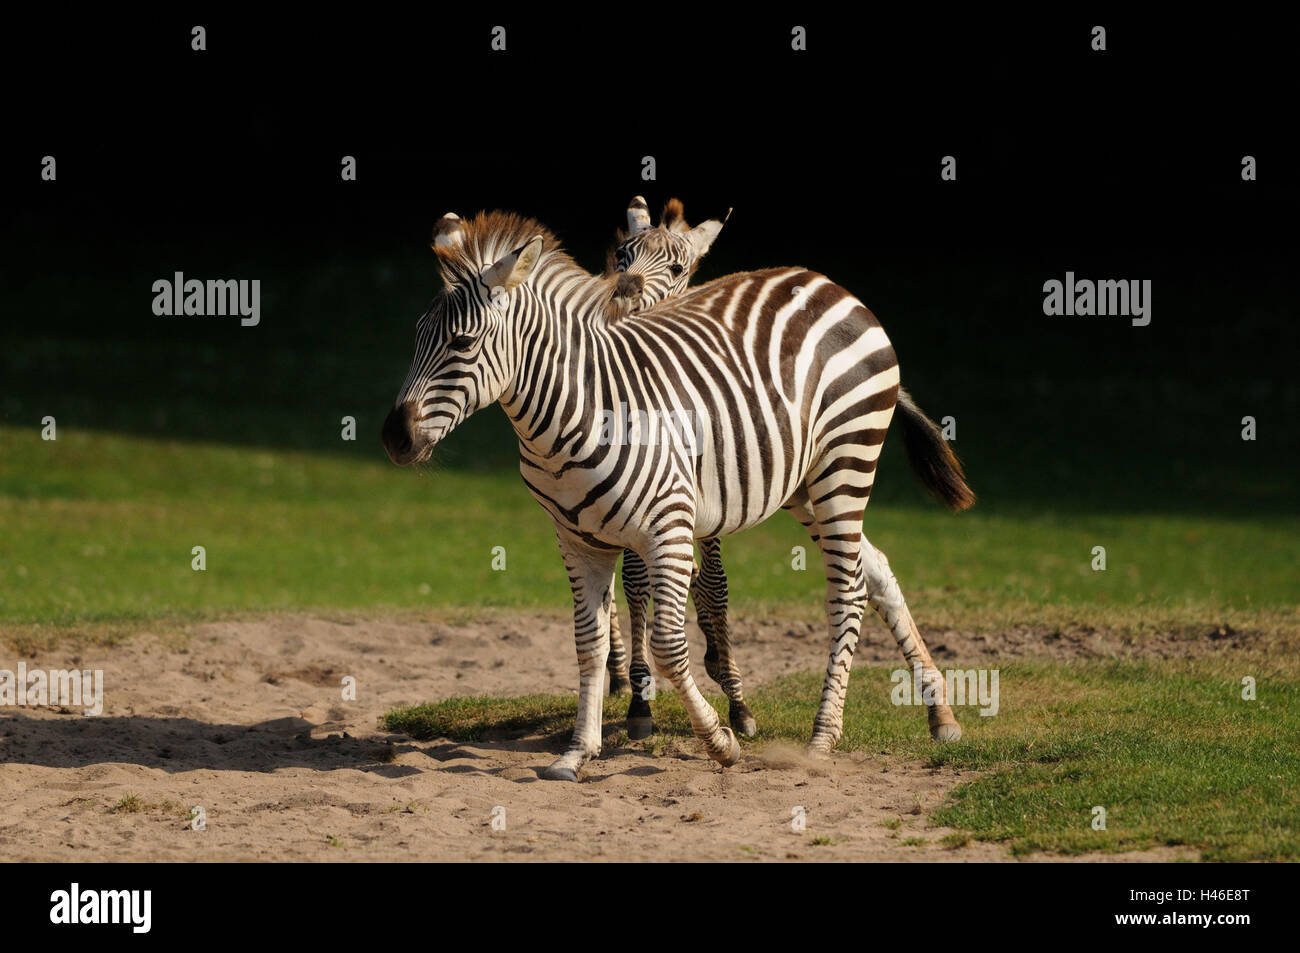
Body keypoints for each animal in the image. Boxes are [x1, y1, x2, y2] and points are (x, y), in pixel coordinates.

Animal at [383, 208, 974, 781]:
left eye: (463, 343)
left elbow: (670, 644)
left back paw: (822, 739)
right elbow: (589, 643)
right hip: (802, 485)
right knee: (874, 570)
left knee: (847, 591)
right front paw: (577, 752)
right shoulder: (578, 541)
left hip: (844, 462)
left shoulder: (668, 529)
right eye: (415, 337)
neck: (570, 417)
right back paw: (939, 713)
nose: (393, 438)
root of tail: (828, 284)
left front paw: (721, 742)